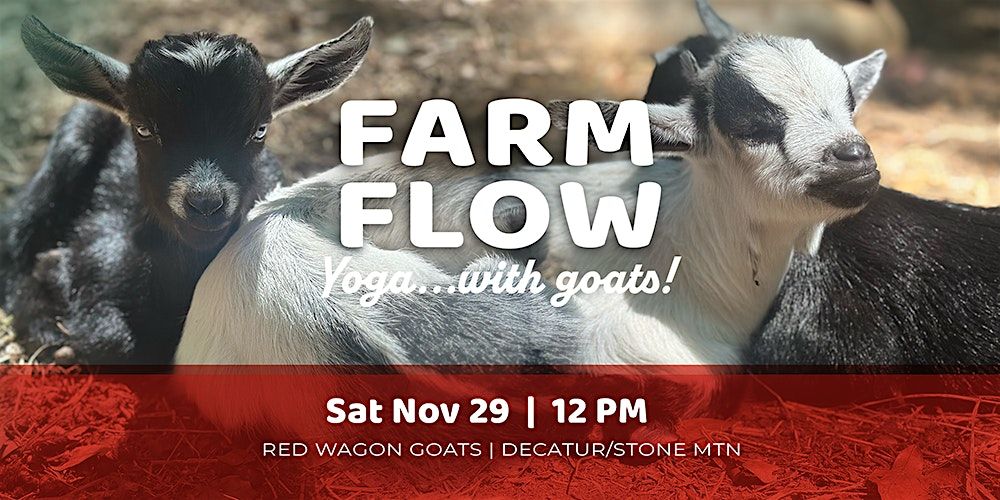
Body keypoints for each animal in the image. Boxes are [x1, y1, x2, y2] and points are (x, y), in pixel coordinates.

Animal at [0, 16, 374, 364]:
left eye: (259, 130)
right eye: (143, 129)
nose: (205, 203)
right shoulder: (98, 245)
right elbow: (112, 337)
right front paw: (52, 275)